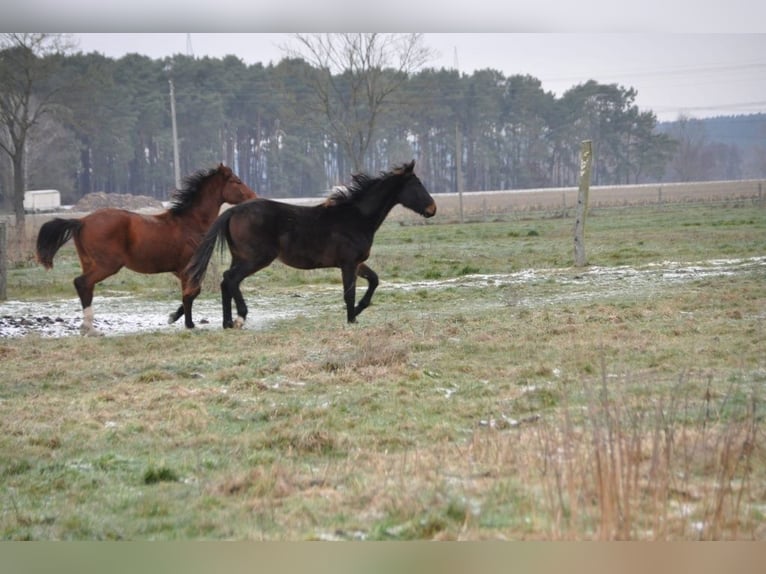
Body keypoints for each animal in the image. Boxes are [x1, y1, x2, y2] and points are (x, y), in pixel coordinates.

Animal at [36, 163, 256, 338]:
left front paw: (174, 317)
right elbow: (191, 293)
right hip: (107, 265)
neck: (189, 222)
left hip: (90, 263)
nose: (254, 197)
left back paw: (88, 328)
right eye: (237, 181)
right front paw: (188, 324)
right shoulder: (187, 268)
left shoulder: (178, 270)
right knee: (82, 283)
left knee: (86, 287)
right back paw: (90, 329)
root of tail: (81, 221)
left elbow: (190, 293)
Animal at [187, 160, 438, 330]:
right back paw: (239, 318)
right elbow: (349, 293)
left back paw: (227, 322)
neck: (355, 217)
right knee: (231, 279)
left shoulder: (357, 263)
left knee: (226, 281)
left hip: (240, 257)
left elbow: (374, 281)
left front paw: (358, 311)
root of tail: (233, 211)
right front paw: (351, 318)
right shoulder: (348, 264)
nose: (432, 209)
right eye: (416, 185)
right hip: (256, 258)